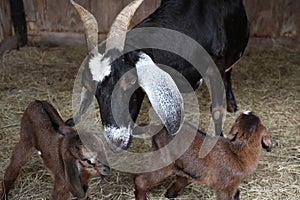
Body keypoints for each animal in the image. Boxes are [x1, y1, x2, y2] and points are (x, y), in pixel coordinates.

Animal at [68, 0, 248, 152]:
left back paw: (232, 104)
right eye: (90, 88)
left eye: (131, 81)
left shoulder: (215, 67)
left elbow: (217, 109)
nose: (116, 142)